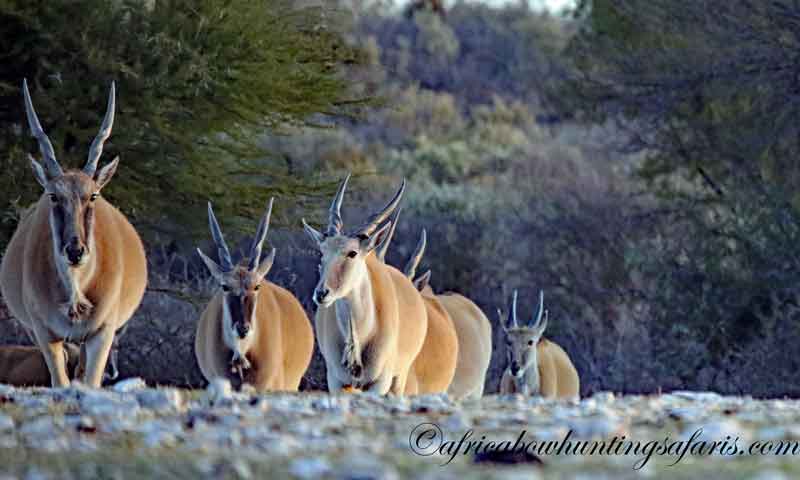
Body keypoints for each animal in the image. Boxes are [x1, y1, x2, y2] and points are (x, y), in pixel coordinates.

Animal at [0, 80, 147, 388]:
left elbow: (91, 382)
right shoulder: (44, 334)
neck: (76, 291)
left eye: (93, 195)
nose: (75, 251)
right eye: (54, 196)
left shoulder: (103, 333)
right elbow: (60, 383)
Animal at [303, 174, 427, 395]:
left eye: (352, 253)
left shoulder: (379, 384)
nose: (321, 293)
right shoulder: (336, 382)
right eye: (322, 252)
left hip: (399, 378)